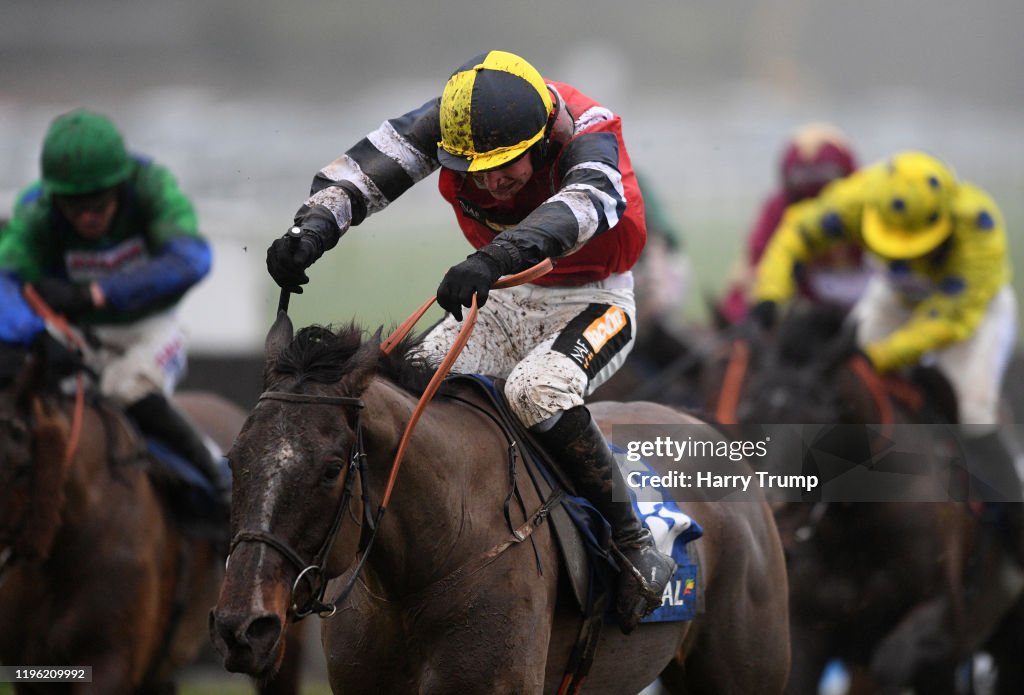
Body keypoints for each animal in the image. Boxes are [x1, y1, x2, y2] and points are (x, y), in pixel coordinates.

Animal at [700, 305, 1024, 695]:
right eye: (748, 412)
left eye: (819, 419)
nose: (774, 510)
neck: (857, 524)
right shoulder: (807, 633)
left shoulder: (942, 616)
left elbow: (893, 664)